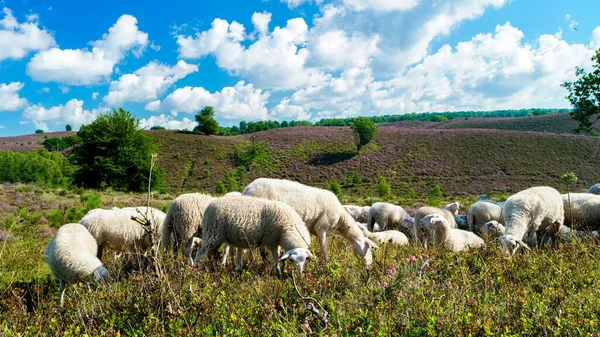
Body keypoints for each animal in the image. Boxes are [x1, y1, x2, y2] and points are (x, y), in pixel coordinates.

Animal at [241, 177, 378, 266]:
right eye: (368, 249)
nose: (368, 267)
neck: (341, 218)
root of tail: (247, 190)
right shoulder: (322, 226)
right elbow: (324, 247)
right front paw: (327, 262)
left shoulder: (314, 229)